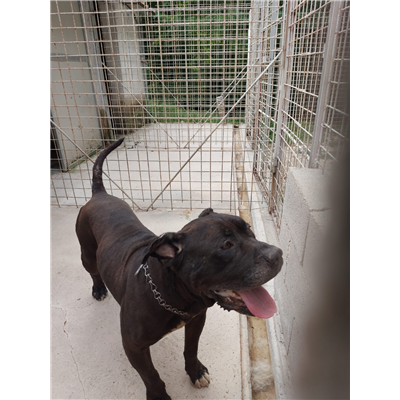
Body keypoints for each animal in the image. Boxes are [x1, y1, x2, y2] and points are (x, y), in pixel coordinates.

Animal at [75, 138, 283, 400]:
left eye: (249, 229)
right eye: (226, 245)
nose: (277, 255)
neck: (171, 294)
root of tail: (99, 195)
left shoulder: (196, 320)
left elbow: (191, 348)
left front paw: (195, 372)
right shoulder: (134, 346)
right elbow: (151, 375)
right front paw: (159, 395)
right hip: (87, 253)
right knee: (93, 271)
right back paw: (98, 289)